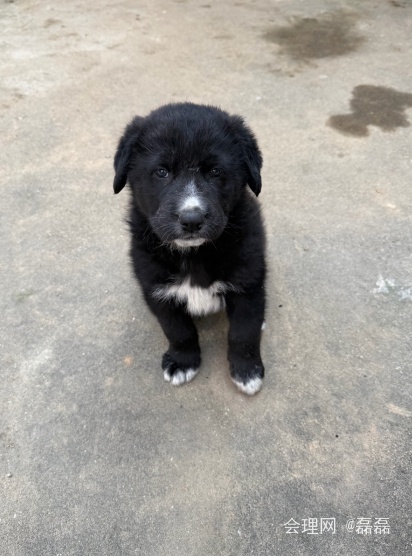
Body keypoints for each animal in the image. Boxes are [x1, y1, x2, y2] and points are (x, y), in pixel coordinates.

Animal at [113, 103, 266, 395]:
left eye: (215, 171)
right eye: (161, 172)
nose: (192, 220)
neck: (194, 255)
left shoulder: (247, 285)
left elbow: (243, 332)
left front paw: (247, 370)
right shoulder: (158, 291)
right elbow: (178, 331)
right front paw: (183, 362)